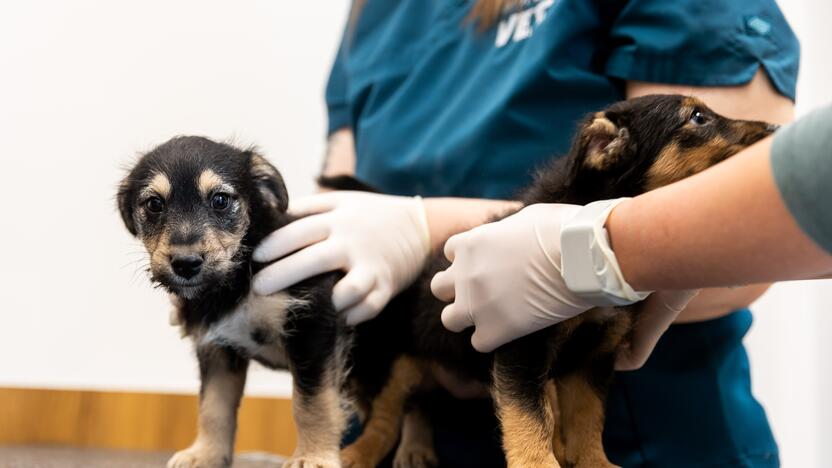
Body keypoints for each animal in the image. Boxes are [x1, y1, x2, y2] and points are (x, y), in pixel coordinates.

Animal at [118, 138, 350, 468]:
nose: (186, 264)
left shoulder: (312, 326)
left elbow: (313, 402)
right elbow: (213, 406)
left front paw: (313, 456)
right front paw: (205, 454)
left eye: (220, 200)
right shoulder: (216, 346)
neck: (237, 278)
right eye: (154, 204)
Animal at [342, 95, 776, 468]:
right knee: (387, 413)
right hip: (399, 356)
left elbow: (587, 418)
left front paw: (595, 463)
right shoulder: (520, 344)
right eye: (698, 118)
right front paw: (541, 463)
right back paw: (358, 454)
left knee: (418, 406)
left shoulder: (594, 355)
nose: (775, 127)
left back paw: (416, 450)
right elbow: (528, 417)